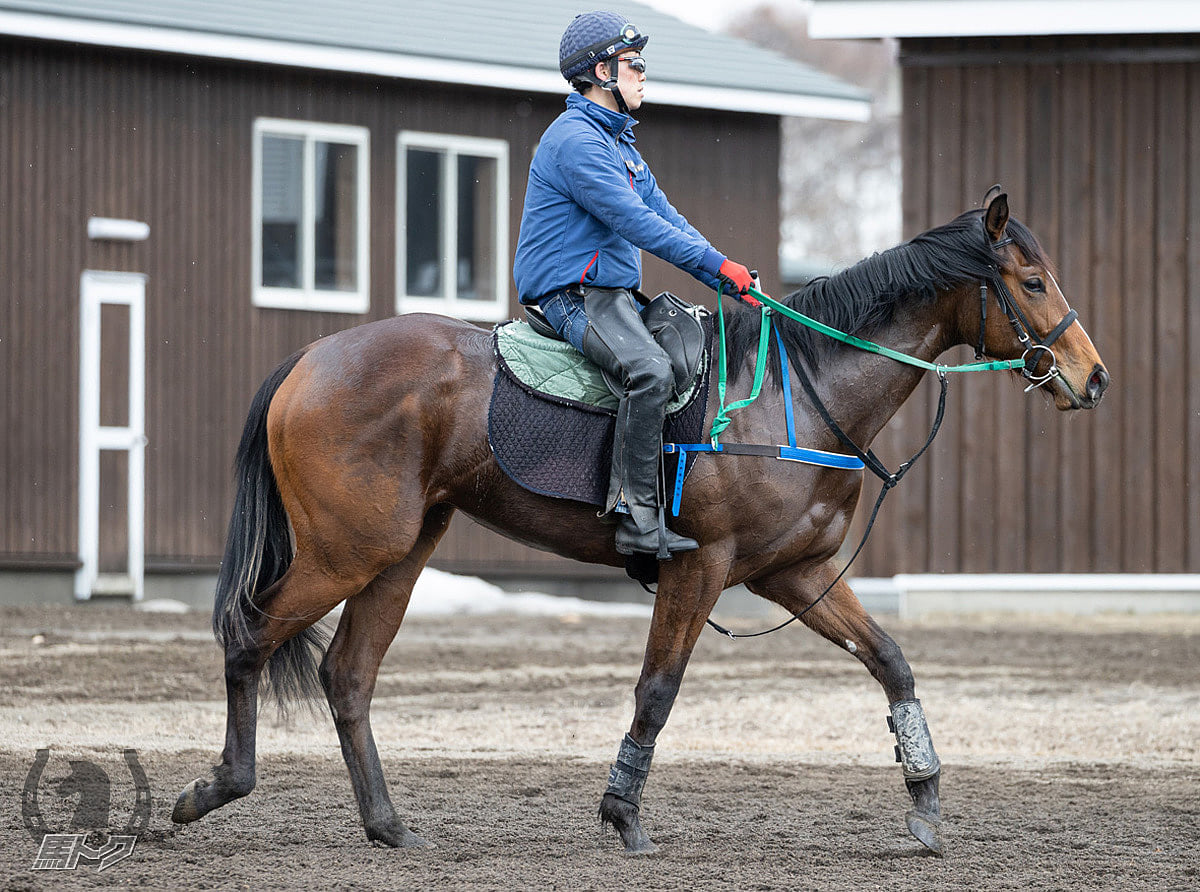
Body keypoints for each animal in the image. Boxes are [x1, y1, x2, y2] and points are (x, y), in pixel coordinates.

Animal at [169, 189, 1104, 859]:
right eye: (1031, 282)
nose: (1092, 378)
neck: (791, 395)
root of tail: (312, 356)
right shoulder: (701, 566)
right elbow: (658, 689)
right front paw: (622, 812)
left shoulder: (795, 577)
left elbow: (893, 664)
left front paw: (926, 799)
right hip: (345, 552)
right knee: (249, 638)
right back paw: (216, 790)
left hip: (397, 556)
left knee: (349, 676)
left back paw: (387, 824)